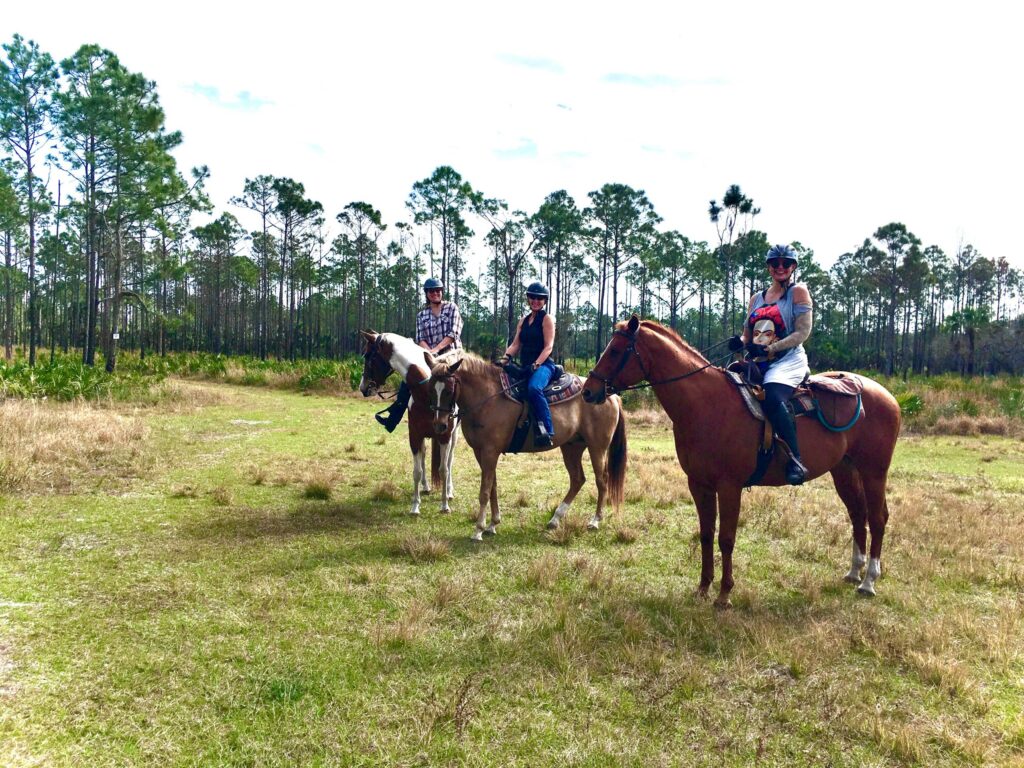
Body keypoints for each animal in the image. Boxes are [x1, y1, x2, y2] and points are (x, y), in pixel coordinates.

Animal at [358, 331, 458, 518]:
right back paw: (426, 487)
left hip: (453, 437)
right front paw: (415, 506)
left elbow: (443, 469)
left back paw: (449, 491)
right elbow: (417, 471)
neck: (426, 395)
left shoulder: (444, 436)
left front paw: (444, 506)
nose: (363, 387)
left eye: (368, 356)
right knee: (425, 455)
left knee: (449, 462)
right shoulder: (415, 435)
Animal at [425, 354, 630, 540]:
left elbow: (484, 491)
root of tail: (611, 396)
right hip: (572, 447)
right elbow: (493, 487)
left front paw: (478, 529)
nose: (440, 425)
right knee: (578, 479)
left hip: (597, 447)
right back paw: (555, 519)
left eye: (449, 390)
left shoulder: (490, 452)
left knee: (602, 480)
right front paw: (493, 524)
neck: (487, 397)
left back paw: (595, 521)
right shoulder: (480, 452)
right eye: (430, 389)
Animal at [581, 317, 901, 606]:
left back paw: (868, 581)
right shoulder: (699, 484)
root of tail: (886, 395)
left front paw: (724, 594)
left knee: (878, 517)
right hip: (844, 470)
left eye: (616, 350)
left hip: (873, 472)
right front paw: (703, 588)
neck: (706, 405)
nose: (588, 391)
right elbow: (706, 534)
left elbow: (726, 538)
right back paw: (854, 572)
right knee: (858, 514)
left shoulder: (729, 487)